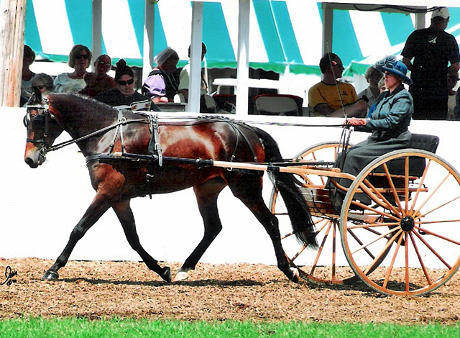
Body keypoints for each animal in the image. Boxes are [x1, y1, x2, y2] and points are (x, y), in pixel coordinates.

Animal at [22, 92, 316, 282]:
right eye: (26, 121)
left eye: (37, 120)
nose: (30, 159)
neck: (109, 134)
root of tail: (247, 129)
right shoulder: (119, 198)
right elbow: (132, 238)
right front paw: (160, 269)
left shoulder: (106, 192)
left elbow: (79, 229)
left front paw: (53, 269)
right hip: (206, 189)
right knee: (213, 227)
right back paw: (185, 268)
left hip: (245, 187)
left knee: (271, 223)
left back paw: (289, 270)